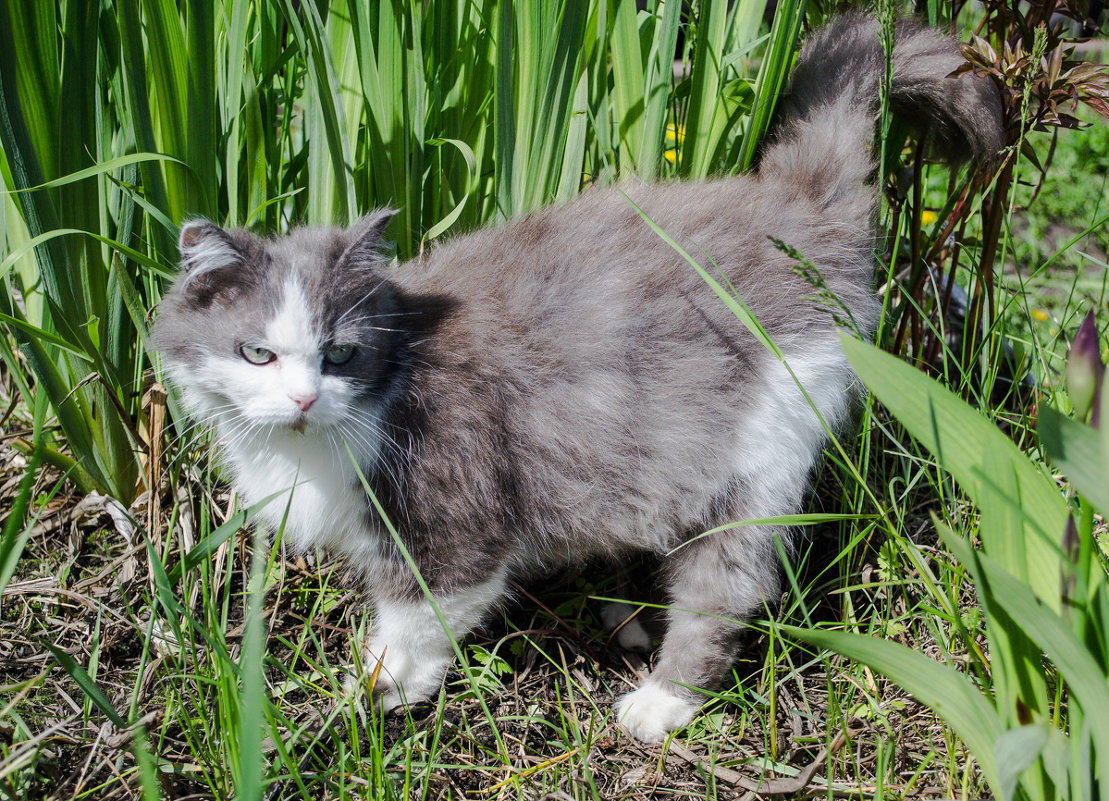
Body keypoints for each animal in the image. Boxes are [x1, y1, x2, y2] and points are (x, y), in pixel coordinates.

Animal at [151, 15, 1011, 741]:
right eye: (257, 354)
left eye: (339, 355)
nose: (302, 396)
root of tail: (792, 203)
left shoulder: (455, 529)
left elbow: (417, 622)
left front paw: (378, 692)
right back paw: (623, 615)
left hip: (757, 461)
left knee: (722, 591)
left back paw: (660, 703)